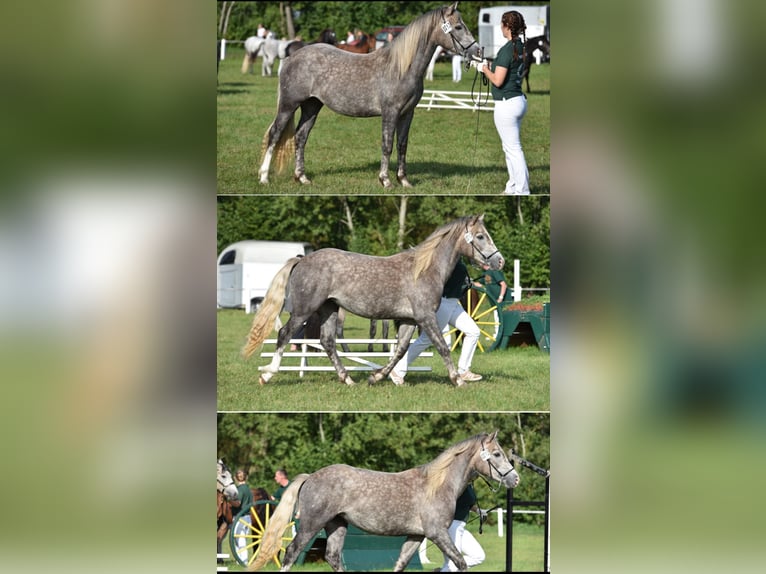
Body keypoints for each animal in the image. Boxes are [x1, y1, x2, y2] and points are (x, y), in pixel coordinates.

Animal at [244, 215, 504, 388]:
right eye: (480, 236)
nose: (499, 261)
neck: (424, 270)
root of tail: (301, 259)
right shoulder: (425, 317)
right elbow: (442, 347)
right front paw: (458, 380)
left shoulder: (409, 320)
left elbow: (400, 351)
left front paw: (377, 376)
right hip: (303, 311)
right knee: (285, 334)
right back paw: (267, 375)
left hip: (329, 309)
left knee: (327, 342)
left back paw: (348, 379)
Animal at [250, 432, 520, 572]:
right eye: (497, 454)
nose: (515, 479)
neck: (436, 485)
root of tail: (310, 477)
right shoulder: (437, 534)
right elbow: (461, 563)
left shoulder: (416, 536)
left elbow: (400, 564)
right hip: (310, 525)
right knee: (291, 553)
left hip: (337, 526)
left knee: (333, 557)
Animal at [260, 1, 484, 188]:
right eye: (458, 27)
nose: (478, 51)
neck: (401, 67)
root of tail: (291, 57)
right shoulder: (390, 113)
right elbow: (387, 145)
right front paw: (385, 180)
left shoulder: (407, 113)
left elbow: (402, 145)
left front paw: (404, 181)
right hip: (288, 105)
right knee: (275, 134)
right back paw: (264, 177)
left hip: (311, 106)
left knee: (300, 137)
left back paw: (302, 177)